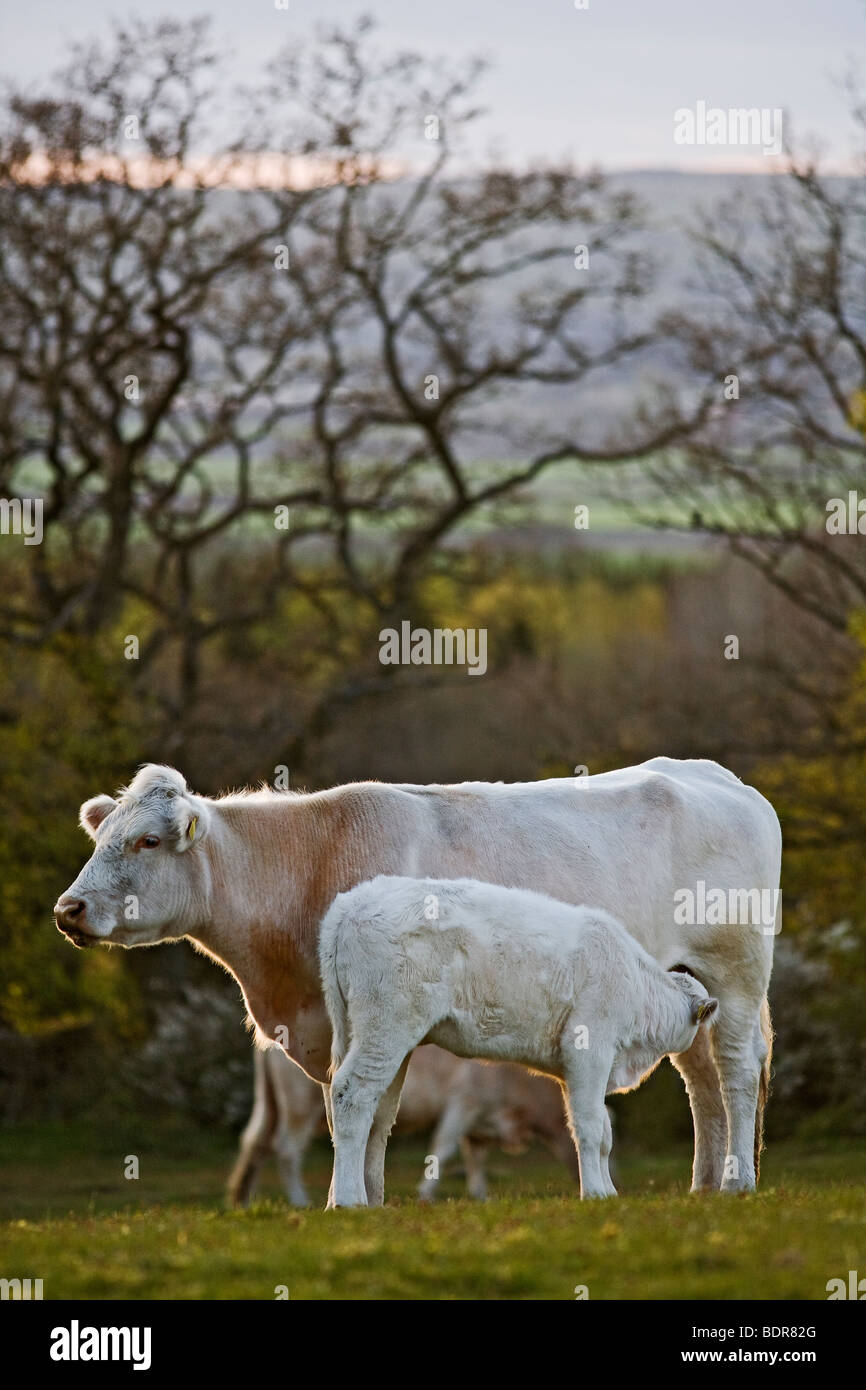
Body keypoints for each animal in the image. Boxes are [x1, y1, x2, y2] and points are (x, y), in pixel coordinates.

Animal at [226, 1045, 594, 1206]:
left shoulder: (479, 1124)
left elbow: (475, 1159)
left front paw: (480, 1195)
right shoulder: (463, 1104)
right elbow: (444, 1149)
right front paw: (426, 1193)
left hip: (272, 1105)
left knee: (254, 1143)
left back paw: (241, 1199)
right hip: (300, 1106)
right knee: (287, 1150)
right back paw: (300, 1200)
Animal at [322, 878, 722, 1206]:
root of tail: (354, 901)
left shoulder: (576, 1068)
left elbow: (603, 1131)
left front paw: (608, 1192)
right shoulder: (589, 1048)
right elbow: (591, 1125)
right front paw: (594, 1193)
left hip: (375, 1035)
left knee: (371, 1108)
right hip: (384, 1026)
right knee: (350, 1094)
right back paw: (347, 1201)